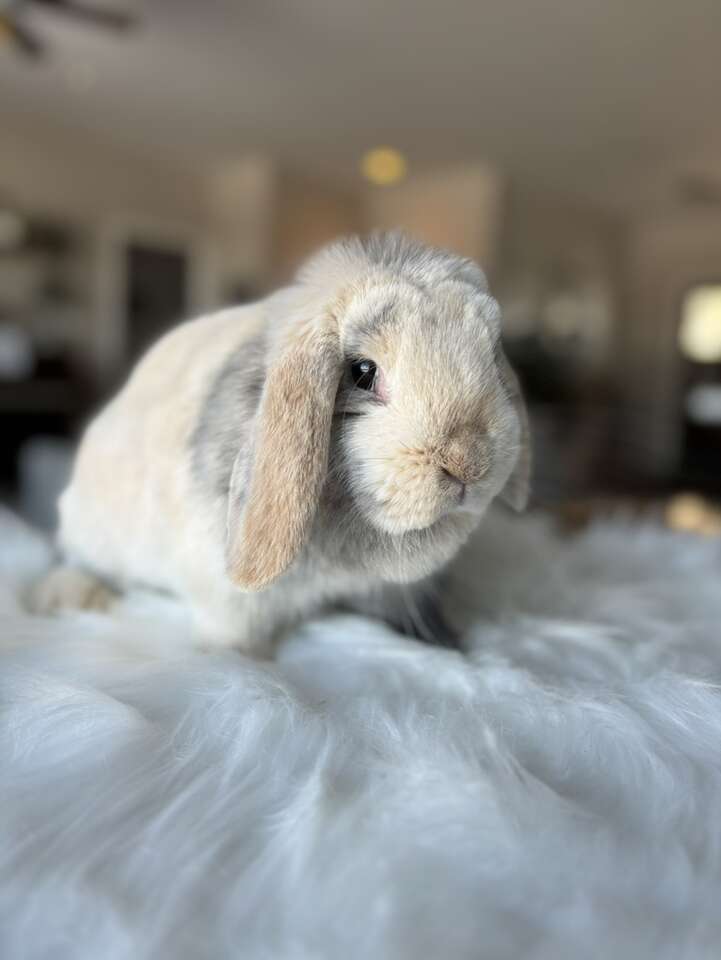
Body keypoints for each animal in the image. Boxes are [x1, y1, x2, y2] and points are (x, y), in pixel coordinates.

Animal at [33, 230, 528, 656]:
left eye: (491, 355)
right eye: (362, 372)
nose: (468, 462)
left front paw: (447, 644)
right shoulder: (227, 595)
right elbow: (234, 634)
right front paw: (235, 661)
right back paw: (71, 596)